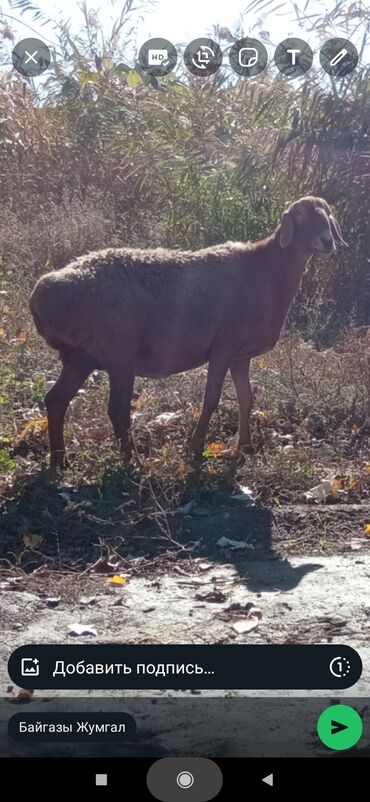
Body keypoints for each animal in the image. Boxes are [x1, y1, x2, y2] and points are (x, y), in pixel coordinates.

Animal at [28, 195, 346, 468]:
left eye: (328, 213)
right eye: (299, 214)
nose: (327, 241)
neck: (267, 272)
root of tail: (42, 294)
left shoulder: (240, 355)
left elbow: (246, 398)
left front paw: (244, 447)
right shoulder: (223, 346)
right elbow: (211, 399)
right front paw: (195, 448)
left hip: (82, 356)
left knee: (56, 400)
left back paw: (59, 461)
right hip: (119, 353)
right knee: (117, 410)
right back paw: (134, 464)